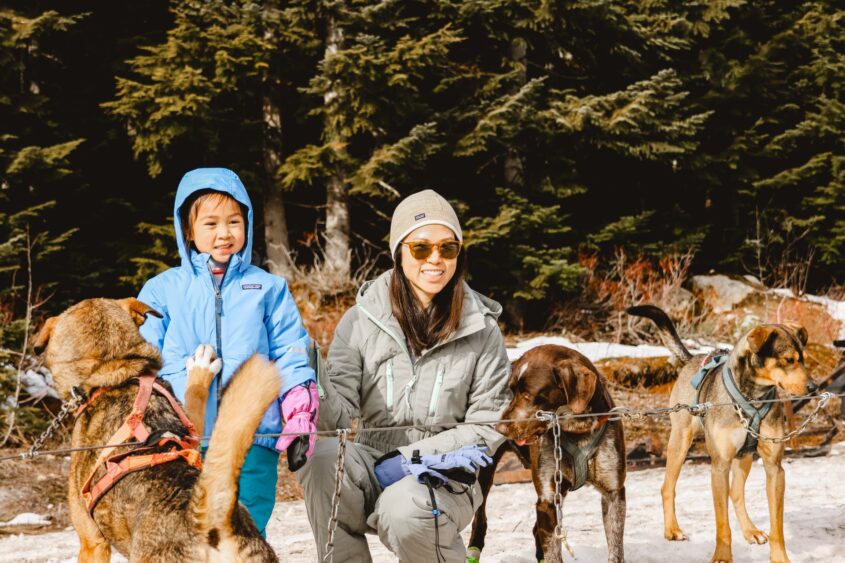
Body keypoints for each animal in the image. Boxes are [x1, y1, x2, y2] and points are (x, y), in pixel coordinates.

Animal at [33, 298, 278, 560]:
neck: (114, 372)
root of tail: (205, 519)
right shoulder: (193, 427)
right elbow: (195, 396)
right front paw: (202, 369)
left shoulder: (92, 542)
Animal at [474, 344, 628, 563]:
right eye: (510, 391)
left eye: (528, 395)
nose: (500, 428)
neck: (576, 431)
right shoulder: (547, 499)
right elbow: (553, 551)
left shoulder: (614, 493)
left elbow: (615, 549)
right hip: (484, 475)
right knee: (479, 521)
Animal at [628, 306, 808, 563]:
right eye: (789, 360)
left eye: (803, 359)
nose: (812, 387)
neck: (752, 396)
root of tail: (693, 358)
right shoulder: (720, 466)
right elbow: (723, 526)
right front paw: (723, 556)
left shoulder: (775, 469)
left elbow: (778, 528)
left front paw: (780, 557)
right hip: (680, 442)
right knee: (667, 487)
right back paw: (672, 529)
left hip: (744, 457)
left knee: (736, 493)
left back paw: (750, 530)